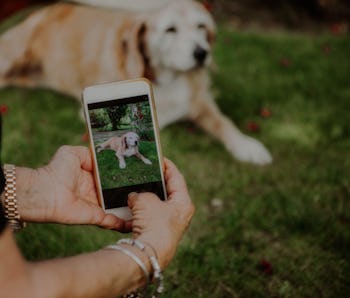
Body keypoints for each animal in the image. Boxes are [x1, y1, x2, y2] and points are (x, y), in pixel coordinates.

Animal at [0, 0, 274, 165]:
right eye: (170, 30)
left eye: (201, 26)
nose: (202, 53)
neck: (165, 76)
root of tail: (45, 9)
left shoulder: (200, 100)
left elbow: (223, 122)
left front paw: (246, 145)